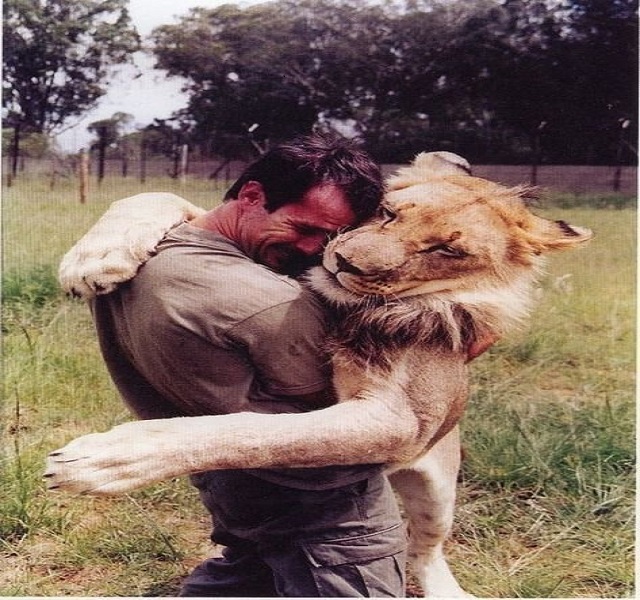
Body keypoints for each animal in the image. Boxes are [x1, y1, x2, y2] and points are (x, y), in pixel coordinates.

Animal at [47, 152, 592, 596]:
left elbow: (256, 434)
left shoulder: (399, 421)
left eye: (447, 251)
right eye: (388, 213)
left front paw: (106, 460)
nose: (344, 262)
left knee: (426, 548)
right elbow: (155, 195)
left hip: (438, 483)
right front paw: (93, 262)